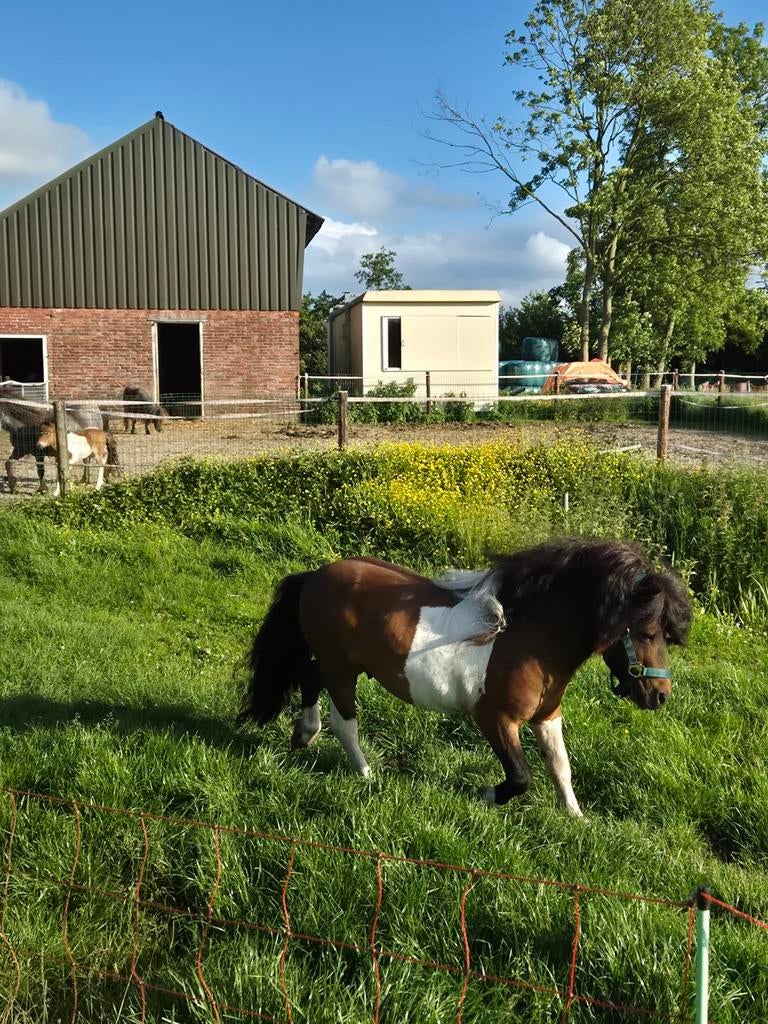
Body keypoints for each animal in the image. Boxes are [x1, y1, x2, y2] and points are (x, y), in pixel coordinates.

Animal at [238, 538, 692, 816]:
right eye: (648, 632)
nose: (660, 695)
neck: (530, 636)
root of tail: (315, 574)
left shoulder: (547, 716)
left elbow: (560, 767)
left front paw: (576, 816)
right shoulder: (494, 719)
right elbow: (522, 776)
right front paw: (486, 794)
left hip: (343, 665)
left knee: (310, 678)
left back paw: (304, 735)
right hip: (343, 670)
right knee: (343, 721)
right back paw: (365, 773)